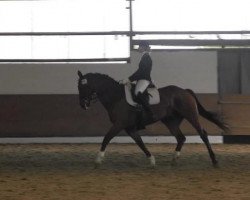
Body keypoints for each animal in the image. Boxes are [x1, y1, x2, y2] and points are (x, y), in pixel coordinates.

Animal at [77, 71, 229, 166]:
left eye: (82, 86)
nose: (83, 105)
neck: (116, 97)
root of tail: (185, 91)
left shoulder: (119, 124)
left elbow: (106, 138)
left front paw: (98, 160)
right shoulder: (129, 128)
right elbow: (140, 143)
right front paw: (152, 160)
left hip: (191, 115)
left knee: (202, 134)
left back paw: (214, 161)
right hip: (170, 121)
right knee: (181, 138)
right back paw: (174, 160)